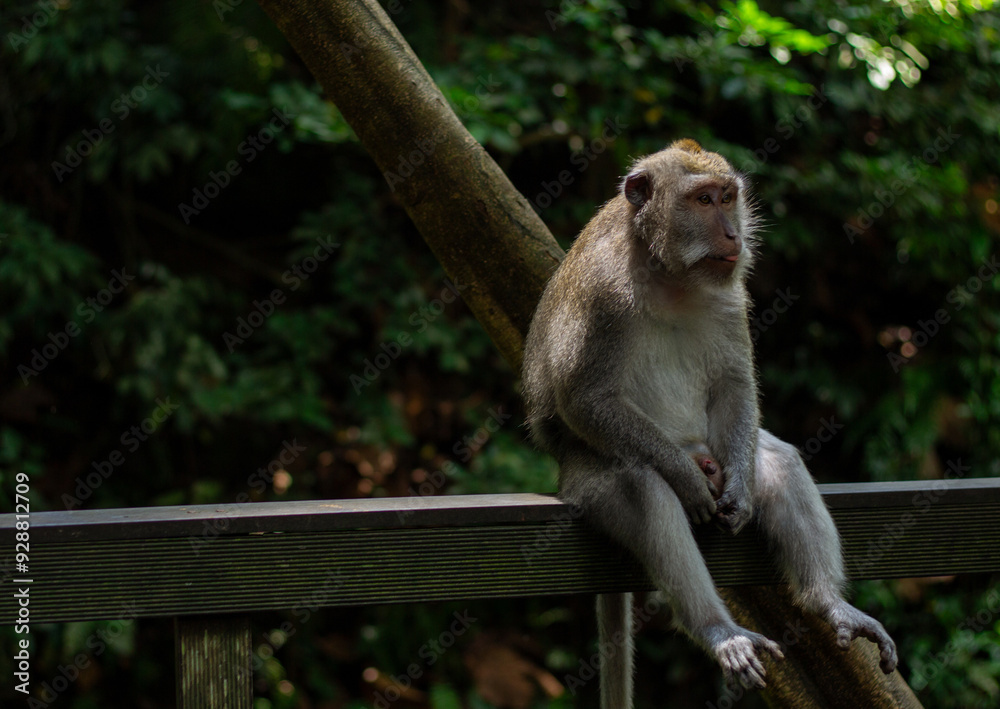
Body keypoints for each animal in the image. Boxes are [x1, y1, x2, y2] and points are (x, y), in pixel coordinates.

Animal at [521, 139, 897, 706]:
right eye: (701, 200)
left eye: (727, 197)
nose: (733, 235)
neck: (668, 274)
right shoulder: (602, 295)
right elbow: (585, 397)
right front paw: (684, 479)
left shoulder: (730, 295)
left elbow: (734, 384)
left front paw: (739, 496)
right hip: (586, 476)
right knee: (641, 487)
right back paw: (717, 629)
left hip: (718, 447)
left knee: (777, 460)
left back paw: (827, 604)